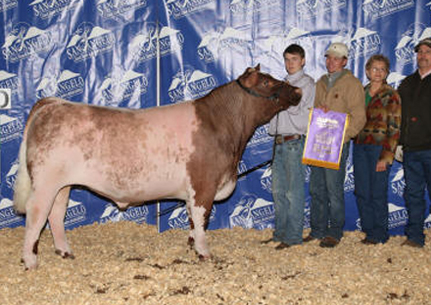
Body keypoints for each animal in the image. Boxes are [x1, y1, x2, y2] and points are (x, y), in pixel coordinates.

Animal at [15, 64, 302, 268]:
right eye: (266, 82)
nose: (297, 91)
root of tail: (54, 102)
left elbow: (192, 219)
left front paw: (191, 243)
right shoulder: (203, 185)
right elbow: (202, 218)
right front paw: (204, 252)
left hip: (63, 184)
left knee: (56, 214)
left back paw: (65, 251)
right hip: (46, 181)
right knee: (37, 214)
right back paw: (30, 261)